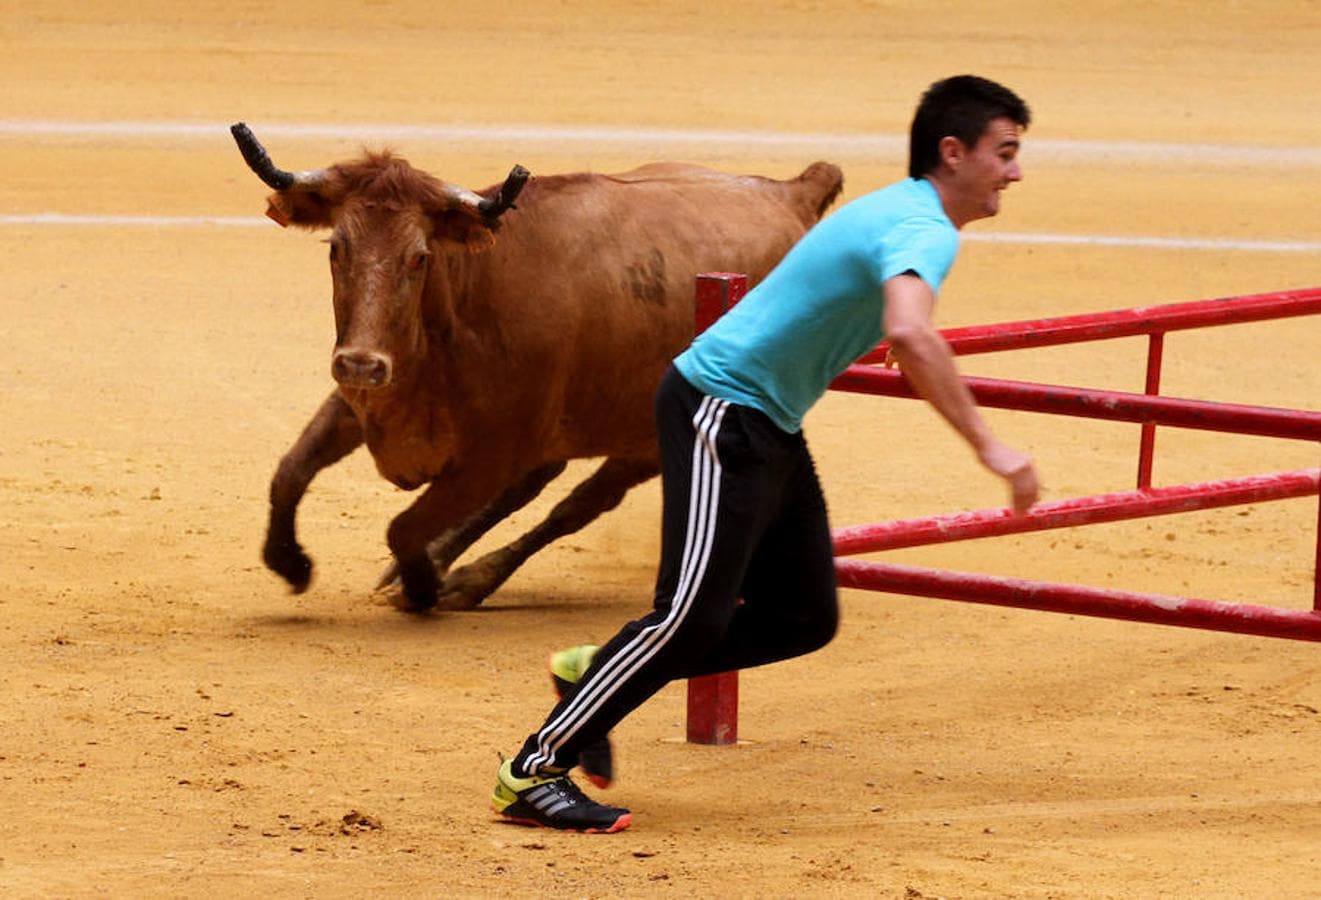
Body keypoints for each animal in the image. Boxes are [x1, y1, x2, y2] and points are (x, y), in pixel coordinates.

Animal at [232, 124, 840, 610]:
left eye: (420, 257)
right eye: (337, 247)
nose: (362, 364)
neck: (462, 304)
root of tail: (792, 192)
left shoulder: (494, 453)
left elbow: (404, 526)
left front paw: (423, 587)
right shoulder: (365, 405)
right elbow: (290, 471)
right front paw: (291, 564)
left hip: (650, 440)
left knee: (578, 505)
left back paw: (468, 580)